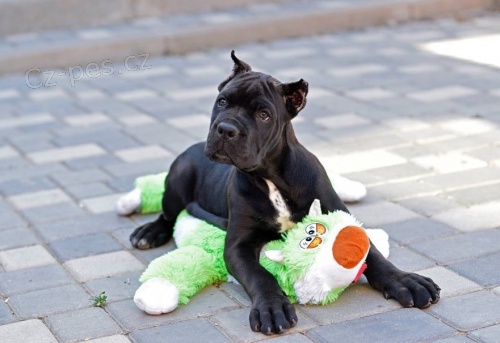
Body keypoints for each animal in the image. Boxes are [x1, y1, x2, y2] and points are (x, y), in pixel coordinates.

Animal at [130, 51, 442, 336]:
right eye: (222, 101)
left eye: (263, 115)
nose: (226, 129)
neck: (270, 176)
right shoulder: (238, 246)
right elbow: (260, 275)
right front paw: (272, 307)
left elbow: (374, 255)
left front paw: (406, 281)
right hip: (179, 176)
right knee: (167, 215)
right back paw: (148, 232)